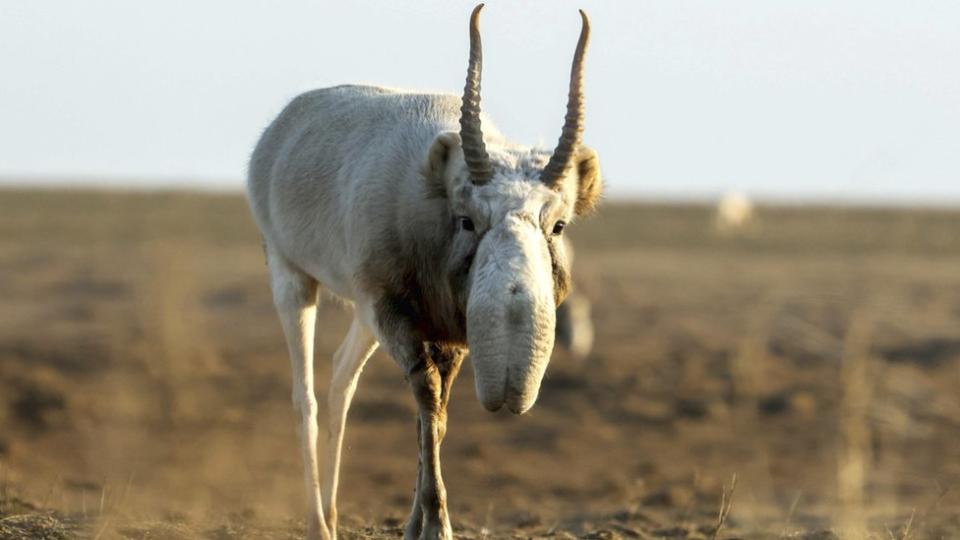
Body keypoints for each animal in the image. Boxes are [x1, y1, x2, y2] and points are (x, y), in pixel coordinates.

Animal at [246, 5, 600, 540]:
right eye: (467, 219)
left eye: (558, 224)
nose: (514, 305)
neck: (433, 194)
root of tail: (280, 130)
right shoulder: (393, 312)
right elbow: (427, 395)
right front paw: (435, 523)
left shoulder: (447, 330)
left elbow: (436, 414)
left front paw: (416, 521)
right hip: (292, 278)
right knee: (305, 395)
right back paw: (317, 523)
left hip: (363, 315)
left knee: (340, 379)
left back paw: (333, 512)